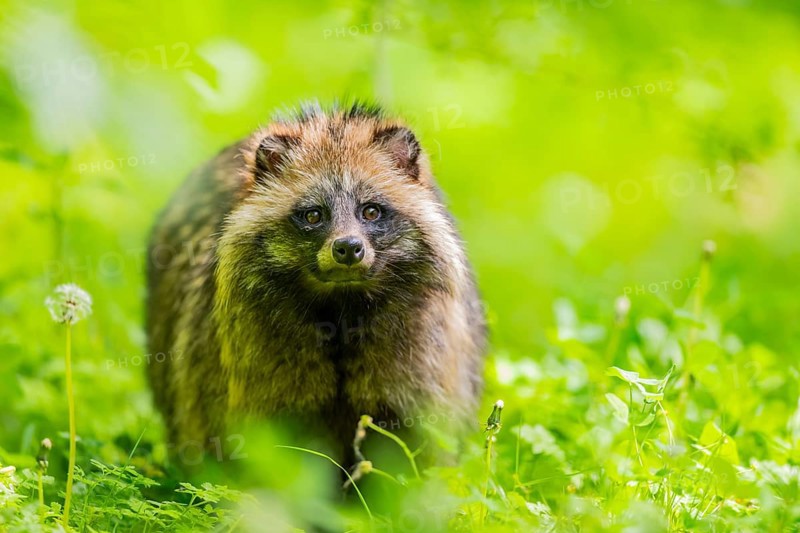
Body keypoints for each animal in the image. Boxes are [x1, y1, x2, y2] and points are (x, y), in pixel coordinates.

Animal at [146, 101, 486, 466]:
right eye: (313, 215)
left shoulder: (421, 358)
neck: (342, 304)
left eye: (371, 211)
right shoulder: (251, 364)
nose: (348, 247)